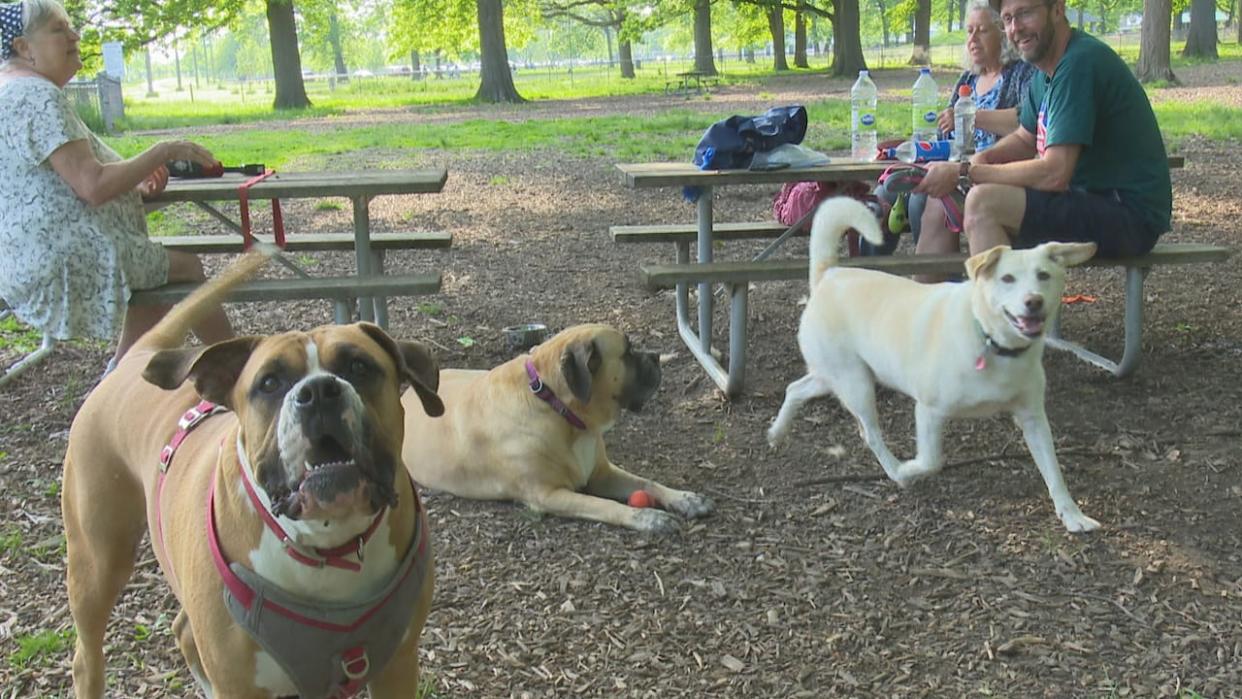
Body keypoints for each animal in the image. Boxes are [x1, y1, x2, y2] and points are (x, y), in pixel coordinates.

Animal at [60, 252, 447, 699]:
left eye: (359, 366)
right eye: (269, 383)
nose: (318, 391)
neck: (327, 546)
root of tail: (137, 357)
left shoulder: (397, 665)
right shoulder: (240, 682)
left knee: (183, 629)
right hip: (96, 564)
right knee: (87, 657)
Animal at [402, 325, 715, 533]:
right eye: (627, 353)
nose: (655, 355)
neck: (560, 410)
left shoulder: (602, 473)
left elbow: (647, 482)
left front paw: (685, 499)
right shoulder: (548, 494)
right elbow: (602, 504)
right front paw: (647, 517)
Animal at [770, 193, 1102, 533]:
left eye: (1044, 275)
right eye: (1007, 279)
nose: (1033, 301)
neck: (989, 340)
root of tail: (829, 274)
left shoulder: (1033, 418)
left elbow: (1053, 470)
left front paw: (1072, 514)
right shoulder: (929, 410)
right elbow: (931, 461)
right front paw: (908, 470)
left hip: (833, 376)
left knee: (795, 389)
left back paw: (776, 432)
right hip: (855, 384)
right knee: (869, 434)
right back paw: (894, 470)